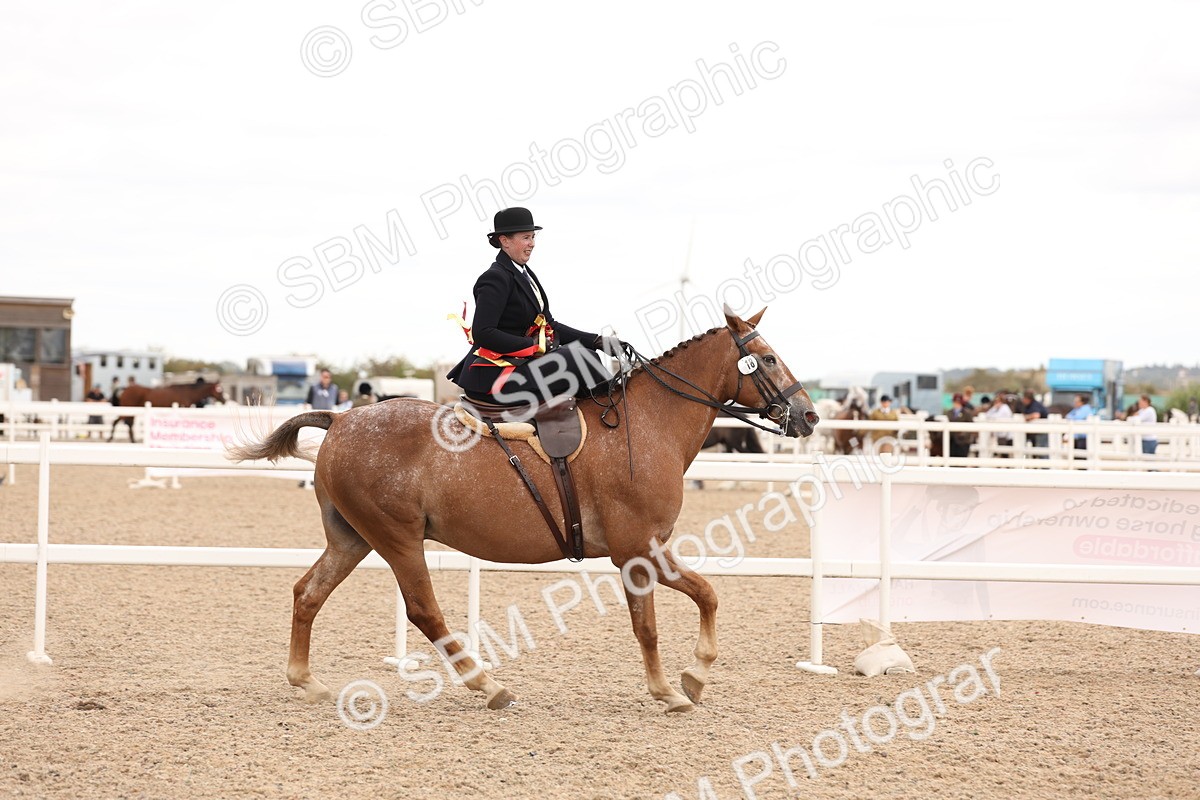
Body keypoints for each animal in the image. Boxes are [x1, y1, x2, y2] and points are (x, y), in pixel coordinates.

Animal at [227, 309, 818, 713]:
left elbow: (696, 600)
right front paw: (676, 686)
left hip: (354, 538)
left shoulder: (644, 552)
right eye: (766, 357)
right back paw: (488, 685)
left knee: (309, 593)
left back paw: (306, 680)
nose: (808, 415)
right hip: (396, 539)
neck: (650, 423)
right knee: (424, 611)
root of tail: (343, 420)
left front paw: (687, 680)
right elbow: (661, 618)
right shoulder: (637, 551)